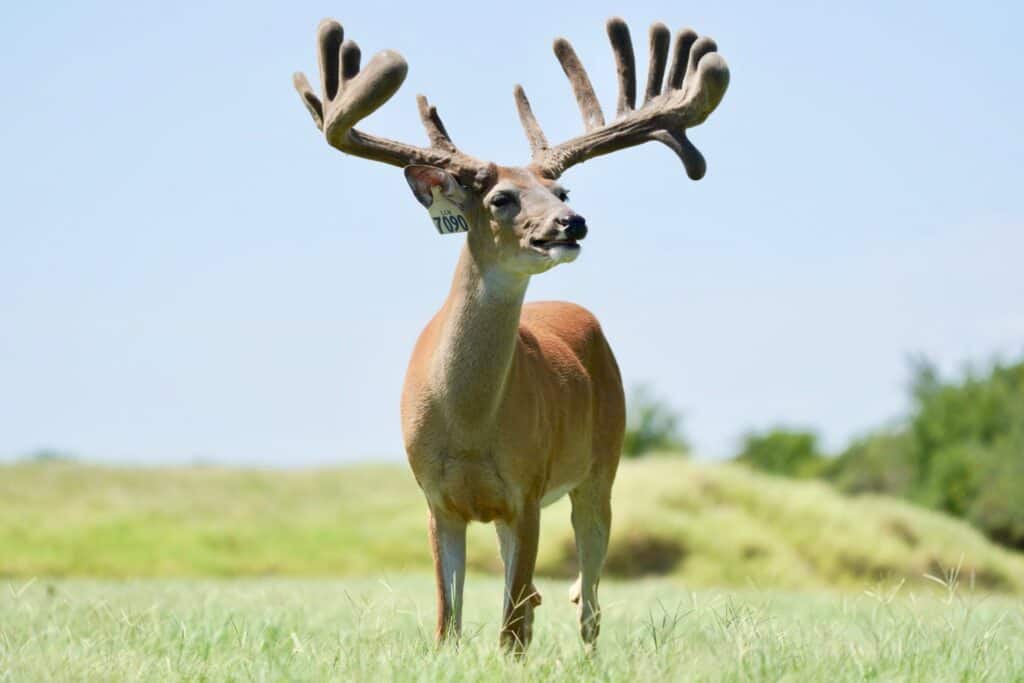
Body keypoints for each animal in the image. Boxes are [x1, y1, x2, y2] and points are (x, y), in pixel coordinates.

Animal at [293, 16, 729, 654]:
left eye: (562, 192)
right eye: (501, 197)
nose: (572, 224)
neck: (469, 424)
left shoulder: (528, 489)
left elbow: (513, 627)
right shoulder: (438, 499)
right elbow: (448, 622)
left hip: (601, 466)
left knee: (588, 597)